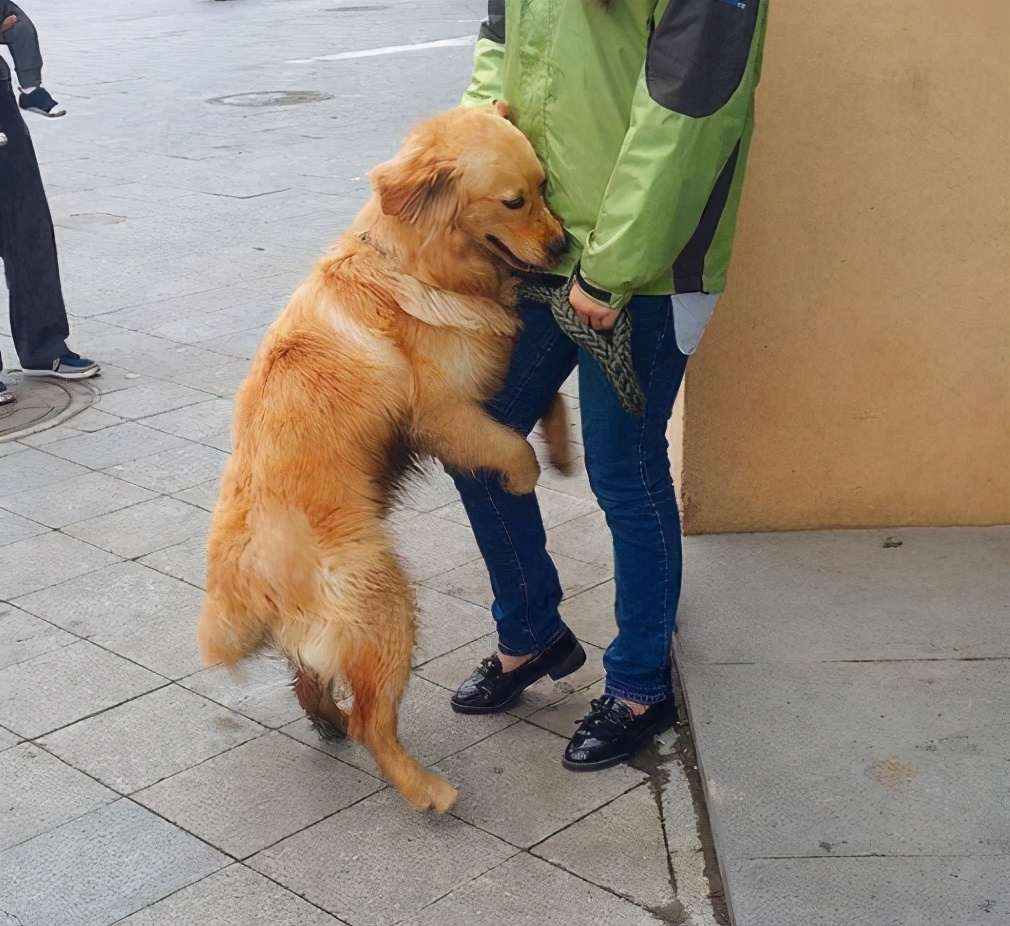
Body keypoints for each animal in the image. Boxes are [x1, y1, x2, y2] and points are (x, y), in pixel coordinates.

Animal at [196, 103, 569, 807]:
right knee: (374, 720)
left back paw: (329, 722)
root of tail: (242, 575)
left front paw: (562, 449)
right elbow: (506, 442)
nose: (565, 247)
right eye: (514, 201)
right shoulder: (445, 411)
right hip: (384, 601)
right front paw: (526, 472)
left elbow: (551, 397)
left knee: (310, 680)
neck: (412, 261)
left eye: (546, 187)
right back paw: (426, 790)